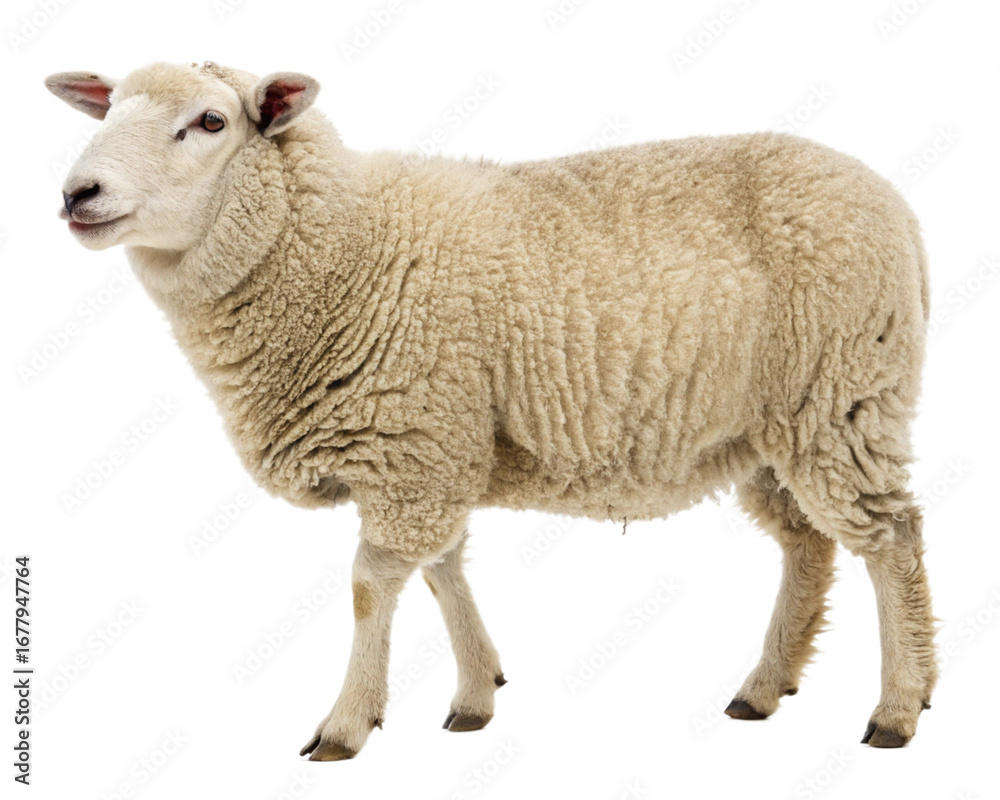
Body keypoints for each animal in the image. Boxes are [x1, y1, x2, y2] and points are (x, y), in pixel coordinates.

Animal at [45, 60, 937, 760]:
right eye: (109, 107)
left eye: (210, 121)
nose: (78, 193)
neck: (343, 248)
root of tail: (899, 209)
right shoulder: (437, 445)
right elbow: (443, 570)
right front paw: (477, 694)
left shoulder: (412, 441)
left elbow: (372, 584)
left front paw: (346, 724)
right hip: (770, 426)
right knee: (807, 544)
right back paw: (766, 686)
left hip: (844, 394)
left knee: (890, 537)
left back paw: (898, 707)